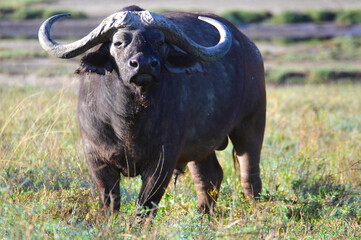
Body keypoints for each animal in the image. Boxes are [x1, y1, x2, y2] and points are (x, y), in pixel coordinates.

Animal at [38, 5, 264, 216]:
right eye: (118, 42)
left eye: (159, 42)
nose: (144, 64)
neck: (128, 120)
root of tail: (250, 48)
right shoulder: (96, 157)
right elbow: (109, 201)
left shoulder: (163, 160)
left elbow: (146, 205)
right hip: (200, 146)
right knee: (210, 176)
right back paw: (202, 216)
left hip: (251, 124)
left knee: (249, 177)